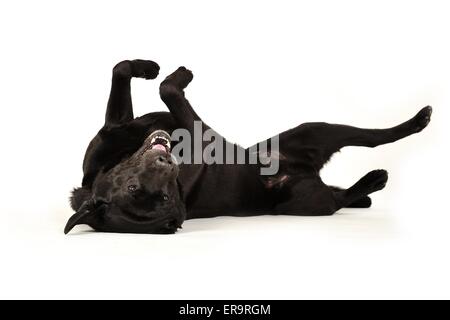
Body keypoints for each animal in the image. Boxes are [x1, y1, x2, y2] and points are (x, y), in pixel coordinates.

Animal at [64, 60, 432, 234]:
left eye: (164, 195)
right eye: (134, 190)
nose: (168, 165)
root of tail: (305, 171)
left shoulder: (114, 127)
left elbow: (123, 70)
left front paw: (148, 67)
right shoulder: (203, 134)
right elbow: (169, 89)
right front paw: (180, 75)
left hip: (313, 130)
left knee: (369, 139)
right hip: (309, 199)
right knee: (346, 185)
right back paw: (377, 176)